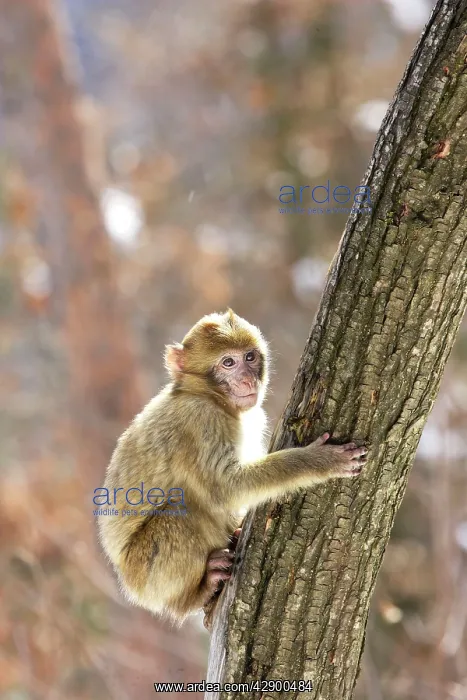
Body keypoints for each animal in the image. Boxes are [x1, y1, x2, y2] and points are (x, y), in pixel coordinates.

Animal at [97, 310, 367, 625]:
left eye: (250, 357)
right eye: (228, 363)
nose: (248, 381)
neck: (208, 397)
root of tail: (129, 584)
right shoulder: (201, 421)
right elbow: (226, 488)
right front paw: (319, 462)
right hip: (146, 574)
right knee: (180, 510)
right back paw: (197, 593)